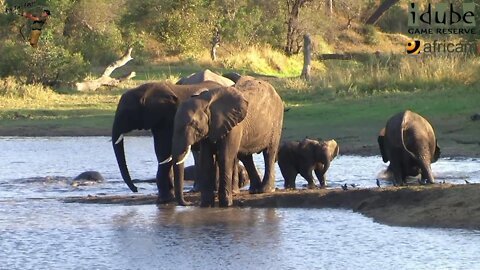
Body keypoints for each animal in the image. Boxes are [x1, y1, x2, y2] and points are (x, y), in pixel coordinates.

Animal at [171, 78, 284, 207]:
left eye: (193, 124)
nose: (189, 203)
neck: (207, 101)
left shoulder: (234, 126)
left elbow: (225, 157)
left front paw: (226, 204)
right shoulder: (211, 128)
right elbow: (206, 159)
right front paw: (206, 205)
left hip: (276, 121)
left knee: (269, 153)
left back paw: (265, 190)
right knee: (246, 156)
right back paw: (255, 190)